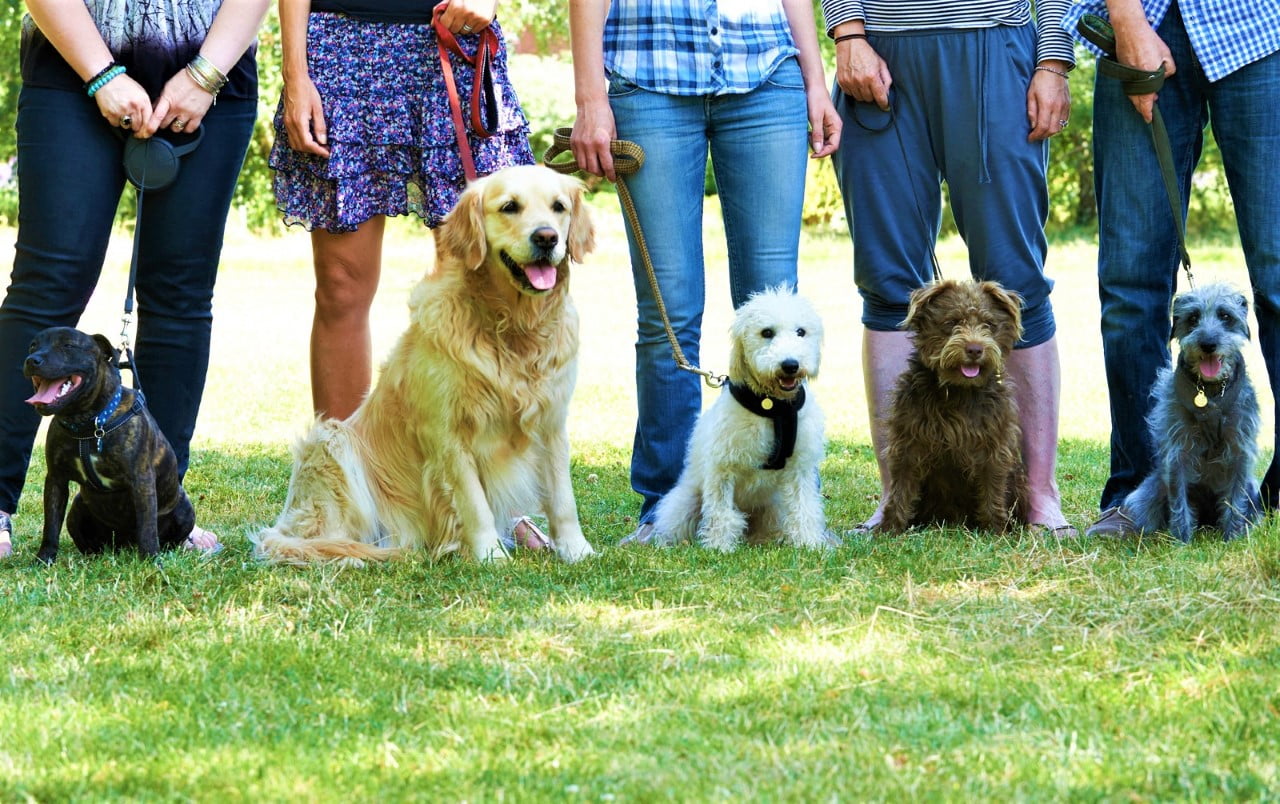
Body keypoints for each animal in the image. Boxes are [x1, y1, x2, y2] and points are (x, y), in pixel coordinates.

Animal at [23, 325, 193, 558]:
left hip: (185, 509)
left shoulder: (142, 481)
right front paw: (44, 558)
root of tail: (124, 545)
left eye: (68, 345)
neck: (89, 424)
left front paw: (151, 560)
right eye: (33, 346)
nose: (32, 360)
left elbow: (147, 527)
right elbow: (51, 524)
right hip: (77, 508)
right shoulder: (56, 479)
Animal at [257, 165, 601, 565]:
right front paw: (490, 555)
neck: (513, 327)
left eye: (558, 207)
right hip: (332, 441)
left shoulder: (552, 423)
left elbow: (563, 498)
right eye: (510, 207)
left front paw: (577, 550)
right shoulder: (446, 432)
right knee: (319, 537)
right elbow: (475, 504)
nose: (546, 237)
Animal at [650, 286, 829, 553]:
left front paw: (809, 544)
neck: (772, 407)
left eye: (801, 332)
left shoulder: (800, 467)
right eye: (766, 332)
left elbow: (803, 507)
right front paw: (719, 547)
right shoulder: (722, 468)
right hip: (684, 502)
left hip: (773, 507)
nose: (790, 365)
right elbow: (721, 513)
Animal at [880, 277, 1029, 535]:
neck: (959, 391)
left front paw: (996, 531)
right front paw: (889, 530)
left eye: (989, 324)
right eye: (951, 322)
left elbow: (992, 489)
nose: (975, 349)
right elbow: (901, 489)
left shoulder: (994, 446)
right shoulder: (908, 441)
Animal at [1121, 281, 1259, 540]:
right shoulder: (1178, 452)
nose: (1208, 344)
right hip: (1147, 493)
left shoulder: (1240, 449)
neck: (1211, 391)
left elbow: (1235, 498)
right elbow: (1179, 500)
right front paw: (1181, 540)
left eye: (1225, 316)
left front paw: (1233, 537)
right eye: (1193, 317)